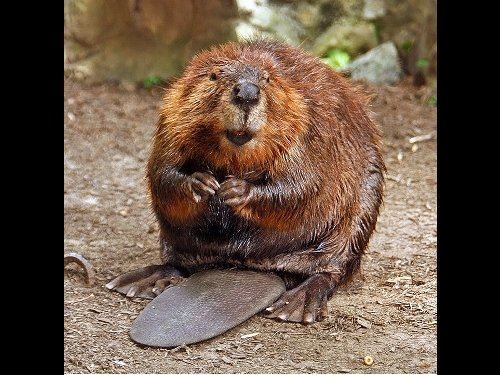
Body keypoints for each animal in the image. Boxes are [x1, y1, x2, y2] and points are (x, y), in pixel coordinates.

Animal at [106, 39, 386, 324]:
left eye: (268, 79)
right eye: (214, 75)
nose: (247, 93)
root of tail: (255, 266)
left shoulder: (310, 125)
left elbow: (303, 185)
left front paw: (235, 190)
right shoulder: (171, 118)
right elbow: (161, 172)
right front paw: (202, 184)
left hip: (363, 205)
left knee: (332, 269)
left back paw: (295, 304)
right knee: (178, 263)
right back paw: (140, 281)